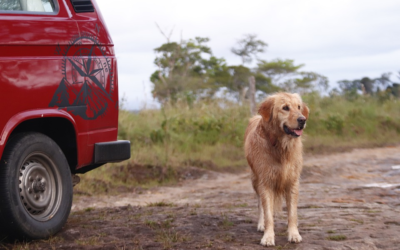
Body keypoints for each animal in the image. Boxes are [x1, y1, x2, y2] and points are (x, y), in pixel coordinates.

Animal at [244, 92, 310, 246]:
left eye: (299, 107)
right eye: (285, 108)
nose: (302, 120)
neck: (281, 146)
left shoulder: (293, 182)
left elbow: (292, 213)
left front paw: (294, 234)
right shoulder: (265, 182)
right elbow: (268, 213)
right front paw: (268, 237)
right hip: (255, 180)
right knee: (260, 205)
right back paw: (261, 225)